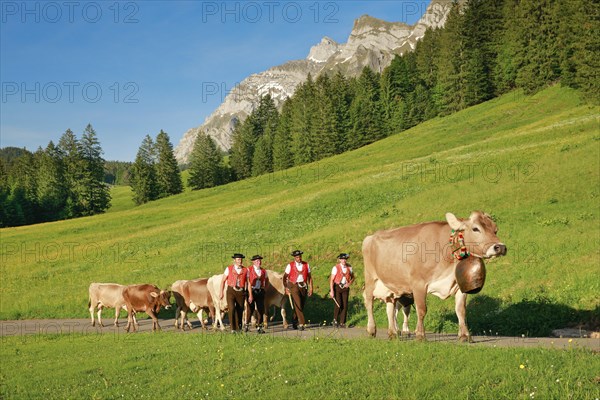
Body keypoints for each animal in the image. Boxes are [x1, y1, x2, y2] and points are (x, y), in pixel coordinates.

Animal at [360, 209, 506, 340]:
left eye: (495, 230)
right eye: (476, 229)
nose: (500, 247)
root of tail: (371, 236)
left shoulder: (459, 285)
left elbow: (461, 310)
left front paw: (465, 336)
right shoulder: (418, 284)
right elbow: (421, 309)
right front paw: (420, 335)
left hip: (389, 284)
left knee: (390, 306)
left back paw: (393, 333)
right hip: (370, 278)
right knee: (369, 301)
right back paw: (371, 330)